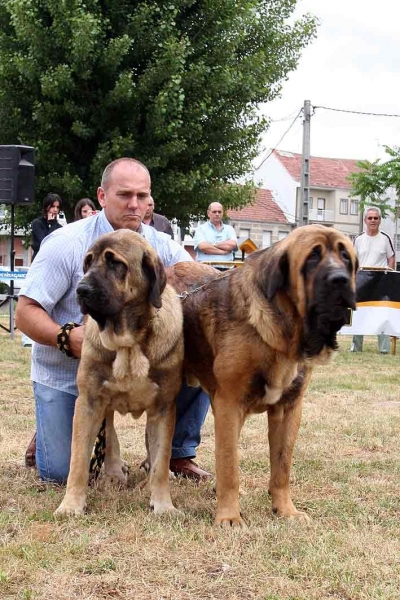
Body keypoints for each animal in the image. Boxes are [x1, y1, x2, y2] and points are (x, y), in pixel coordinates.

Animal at [54, 230, 183, 516]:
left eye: (116, 263)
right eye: (88, 262)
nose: (82, 289)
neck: (128, 342)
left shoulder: (163, 408)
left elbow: (161, 462)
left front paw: (163, 504)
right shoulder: (89, 402)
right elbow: (78, 461)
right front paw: (71, 505)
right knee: (109, 432)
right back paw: (114, 471)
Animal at [167, 224, 358, 524]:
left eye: (346, 256)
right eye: (312, 258)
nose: (340, 280)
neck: (283, 330)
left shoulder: (288, 409)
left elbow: (281, 466)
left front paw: (286, 510)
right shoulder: (229, 404)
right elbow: (230, 465)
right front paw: (229, 518)